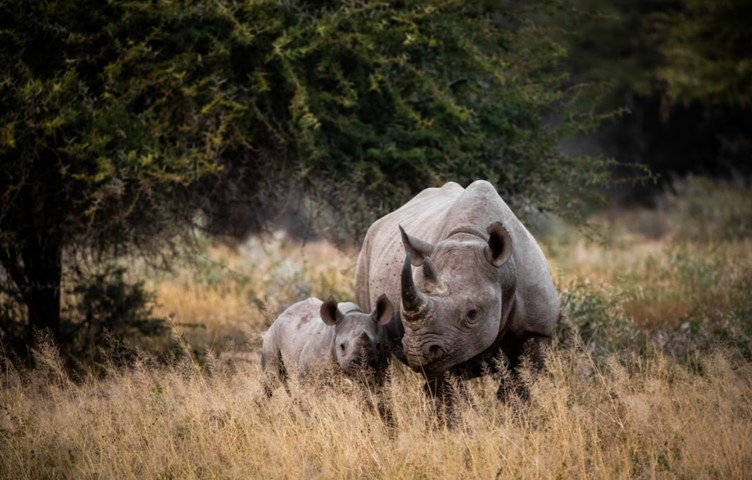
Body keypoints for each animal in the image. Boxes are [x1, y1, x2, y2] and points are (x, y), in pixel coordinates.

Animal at [262, 294, 394, 396]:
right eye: (342, 346)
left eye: (378, 345)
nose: (362, 365)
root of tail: (280, 316)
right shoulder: (308, 374)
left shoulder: (381, 372)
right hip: (271, 337)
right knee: (271, 379)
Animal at [356, 180, 560, 402]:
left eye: (472, 314)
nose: (418, 351)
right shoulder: (444, 341)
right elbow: (448, 392)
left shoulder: (537, 330)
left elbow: (518, 386)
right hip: (365, 253)